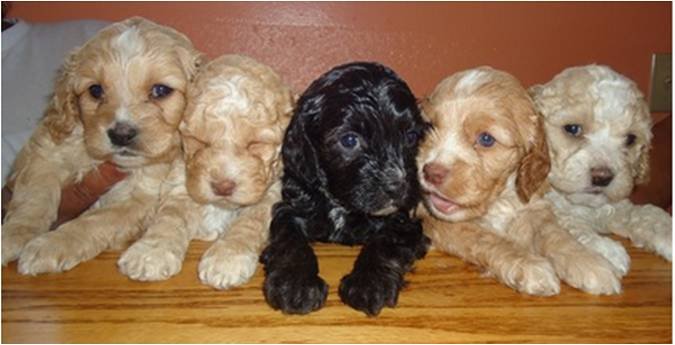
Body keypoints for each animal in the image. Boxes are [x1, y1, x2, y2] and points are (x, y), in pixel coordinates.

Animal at [2, 16, 203, 274]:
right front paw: (12, 236)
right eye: (95, 90)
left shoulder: (141, 198)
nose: (121, 134)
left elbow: (95, 221)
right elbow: (33, 199)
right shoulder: (45, 154)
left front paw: (51, 245)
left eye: (160, 90)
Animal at [117, 54, 292, 288]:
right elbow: (169, 217)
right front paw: (150, 253)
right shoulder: (181, 184)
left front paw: (227, 258)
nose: (223, 186)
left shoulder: (271, 193)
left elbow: (249, 222)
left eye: (255, 144)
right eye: (200, 142)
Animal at [258, 61, 428, 314]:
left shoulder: (403, 220)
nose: (397, 188)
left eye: (410, 136)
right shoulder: (293, 204)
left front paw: (369, 283)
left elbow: (385, 241)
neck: (340, 202)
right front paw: (296, 284)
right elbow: (290, 239)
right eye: (349, 140)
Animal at [422, 68, 624, 296]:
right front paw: (529, 265)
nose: (431, 172)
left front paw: (590, 263)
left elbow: (556, 235)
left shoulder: (534, 207)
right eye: (429, 128)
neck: (500, 199)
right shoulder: (432, 218)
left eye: (486, 139)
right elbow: (485, 237)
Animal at [532, 64, 672, 276]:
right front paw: (609, 251)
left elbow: (647, 214)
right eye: (572, 129)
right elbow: (569, 223)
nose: (602, 177)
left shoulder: (616, 206)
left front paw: (667, 233)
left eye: (630, 139)